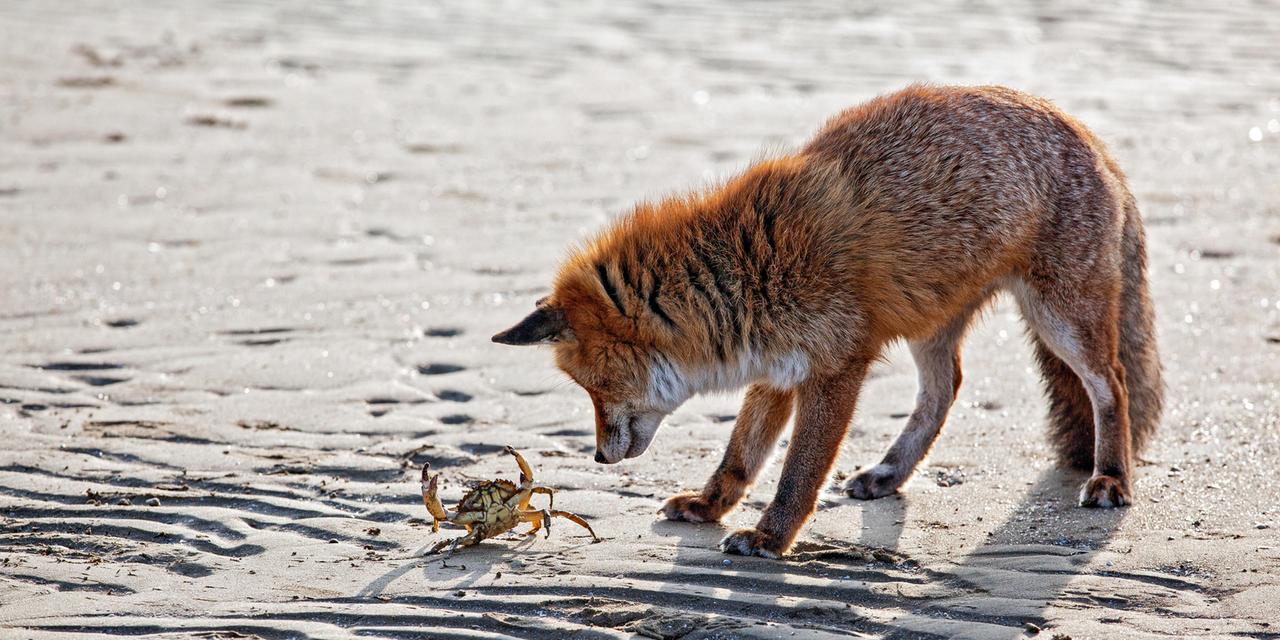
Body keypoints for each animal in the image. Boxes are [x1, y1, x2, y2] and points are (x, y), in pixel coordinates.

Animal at [492, 84, 1162, 559]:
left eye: (594, 388)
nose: (598, 458)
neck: (747, 270)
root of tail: (1087, 134)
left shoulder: (836, 370)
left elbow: (798, 472)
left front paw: (769, 539)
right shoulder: (777, 371)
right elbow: (739, 457)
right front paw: (711, 509)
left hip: (1061, 320)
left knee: (1113, 385)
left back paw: (1111, 477)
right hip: (931, 327)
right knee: (944, 393)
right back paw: (889, 474)